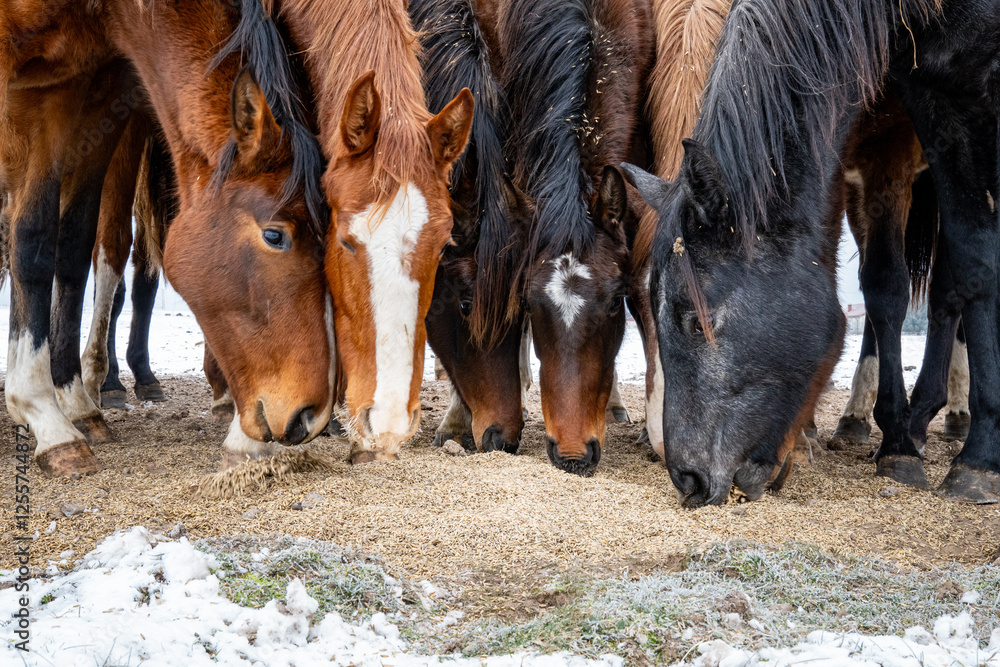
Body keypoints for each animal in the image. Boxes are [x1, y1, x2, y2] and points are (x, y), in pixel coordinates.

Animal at [1, 0, 333, 476]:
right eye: (275, 235)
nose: (312, 417)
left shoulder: (67, 89)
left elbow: (48, 241)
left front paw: (64, 413)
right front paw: (46, 416)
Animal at [626, 0, 1000, 506]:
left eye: (695, 320)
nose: (688, 479)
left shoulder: (905, 143)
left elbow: (934, 273)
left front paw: (962, 458)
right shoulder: (926, 100)